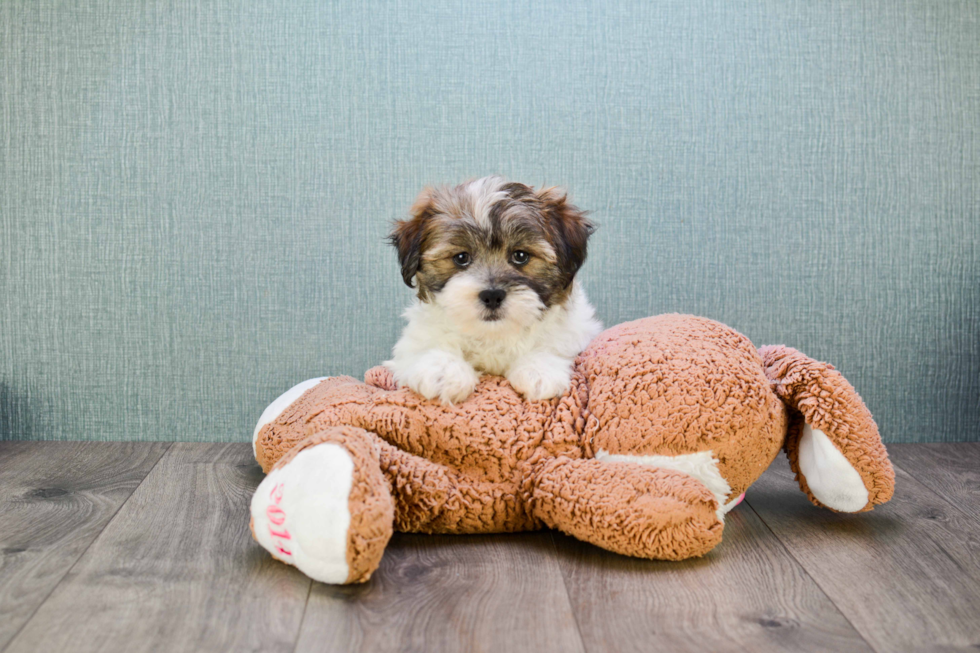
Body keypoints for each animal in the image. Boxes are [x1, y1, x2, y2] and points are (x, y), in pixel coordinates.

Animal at [384, 176, 600, 404]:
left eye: (520, 256)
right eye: (461, 258)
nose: (492, 296)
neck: (493, 334)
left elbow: (555, 343)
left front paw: (539, 370)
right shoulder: (415, 339)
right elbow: (427, 346)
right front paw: (444, 371)